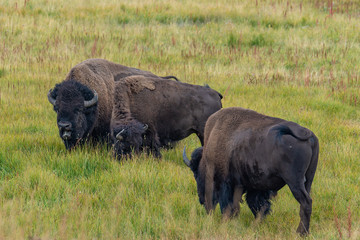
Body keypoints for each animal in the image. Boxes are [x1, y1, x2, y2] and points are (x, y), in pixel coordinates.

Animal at [184, 108, 320, 235]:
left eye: (196, 174)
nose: (202, 200)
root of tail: (309, 135)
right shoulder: (253, 187)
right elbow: (258, 205)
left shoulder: (228, 184)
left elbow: (230, 205)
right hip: (308, 179)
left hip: (294, 182)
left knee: (306, 202)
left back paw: (300, 232)